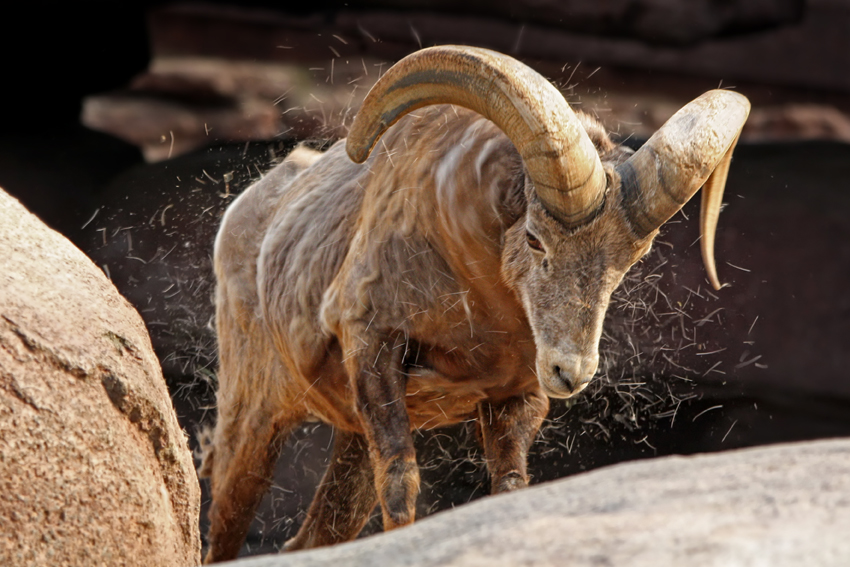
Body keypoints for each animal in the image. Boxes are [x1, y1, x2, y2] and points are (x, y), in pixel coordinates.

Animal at [200, 45, 748, 564]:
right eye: (534, 239)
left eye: (631, 259)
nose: (570, 372)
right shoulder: (372, 344)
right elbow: (401, 487)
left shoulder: (515, 396)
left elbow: (507, 486)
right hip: (253, 420)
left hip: (351, 436)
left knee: (312, 538)